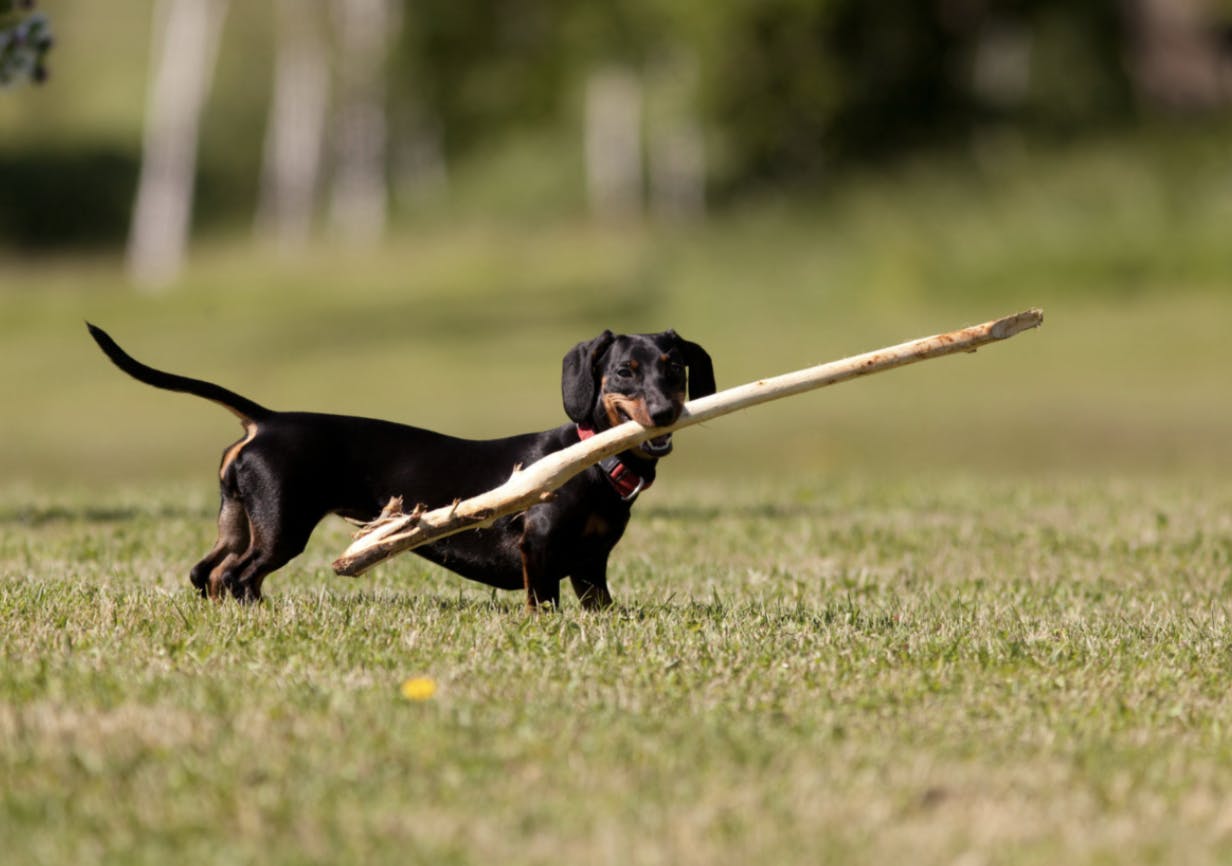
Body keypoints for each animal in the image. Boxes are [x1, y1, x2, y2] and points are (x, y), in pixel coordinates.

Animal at [89, 325, 714, 611]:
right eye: (625, 371)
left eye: (675, 367)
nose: (666, 413)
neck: (595, 463)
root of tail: (265, 421)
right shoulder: (540, 551)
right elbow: (542, 603)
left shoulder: (591, 567)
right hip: (281, 527)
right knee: (235, 576)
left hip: (239, 518)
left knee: (207, 571)